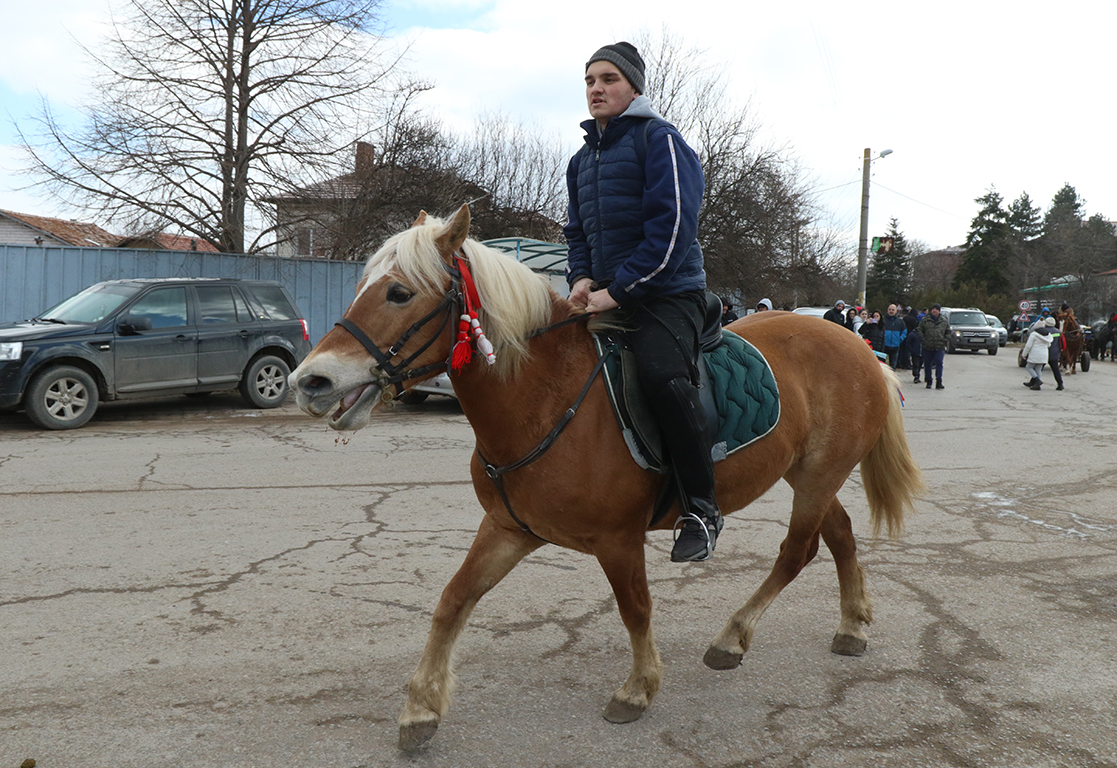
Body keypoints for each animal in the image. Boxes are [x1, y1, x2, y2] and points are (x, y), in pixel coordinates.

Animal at [288, 205, 924, 750]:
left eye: (399, 292)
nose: (310, 381)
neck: (548, 398)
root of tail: (858, 344)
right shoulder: (508, 529)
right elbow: (453, 600)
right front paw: (421, 708)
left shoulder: (618, 540)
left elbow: (635, 608)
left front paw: (638, 689)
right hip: (808, 475)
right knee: (838, 535)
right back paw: (852, 626)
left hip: (817, 476)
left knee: (798, 550)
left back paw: (732, 637)